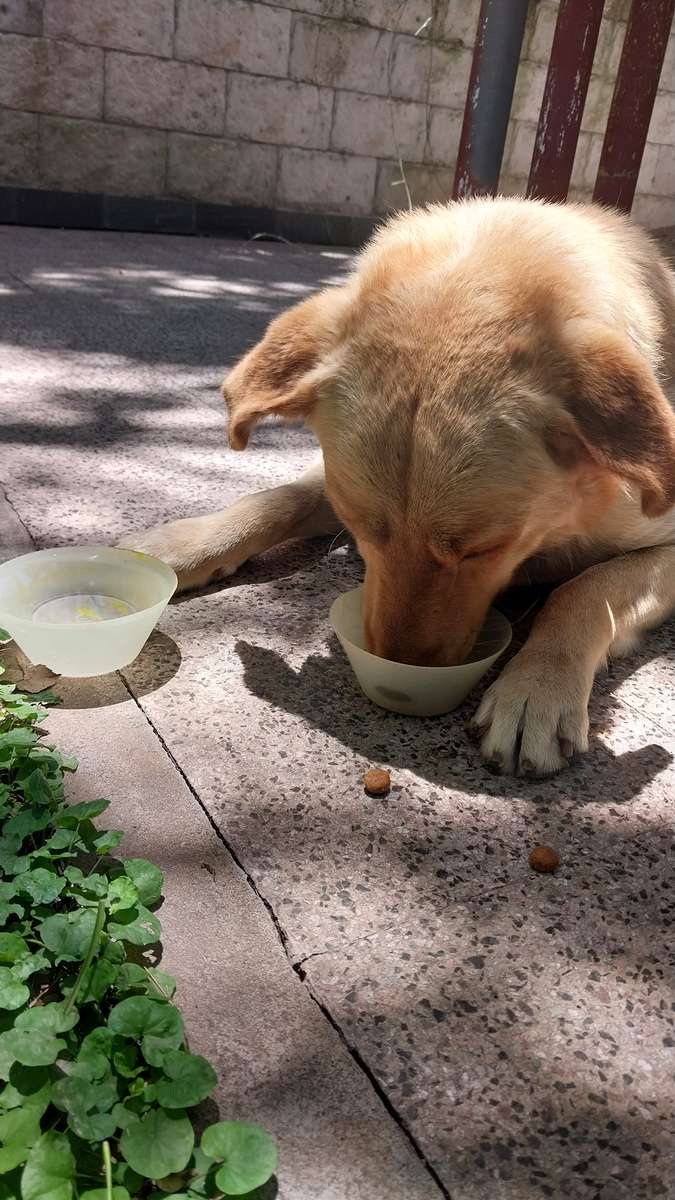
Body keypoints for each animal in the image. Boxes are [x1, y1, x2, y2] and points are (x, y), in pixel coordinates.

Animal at [120, 196, 672, 777]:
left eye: (483, 549)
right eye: (359, 528)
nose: (401, 678)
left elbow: (583, 591)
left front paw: (536, 689)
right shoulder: (333, 488)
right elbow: (282, 497)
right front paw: (189, 543)